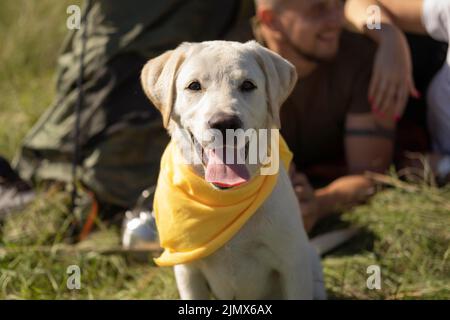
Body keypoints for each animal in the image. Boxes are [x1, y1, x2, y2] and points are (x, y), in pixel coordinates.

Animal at [140, 40, 324, 300]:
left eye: (248, 85)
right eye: (194, 86)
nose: (225, 123)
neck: (224, 197)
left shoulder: (293, 266)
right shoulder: (188, 272)